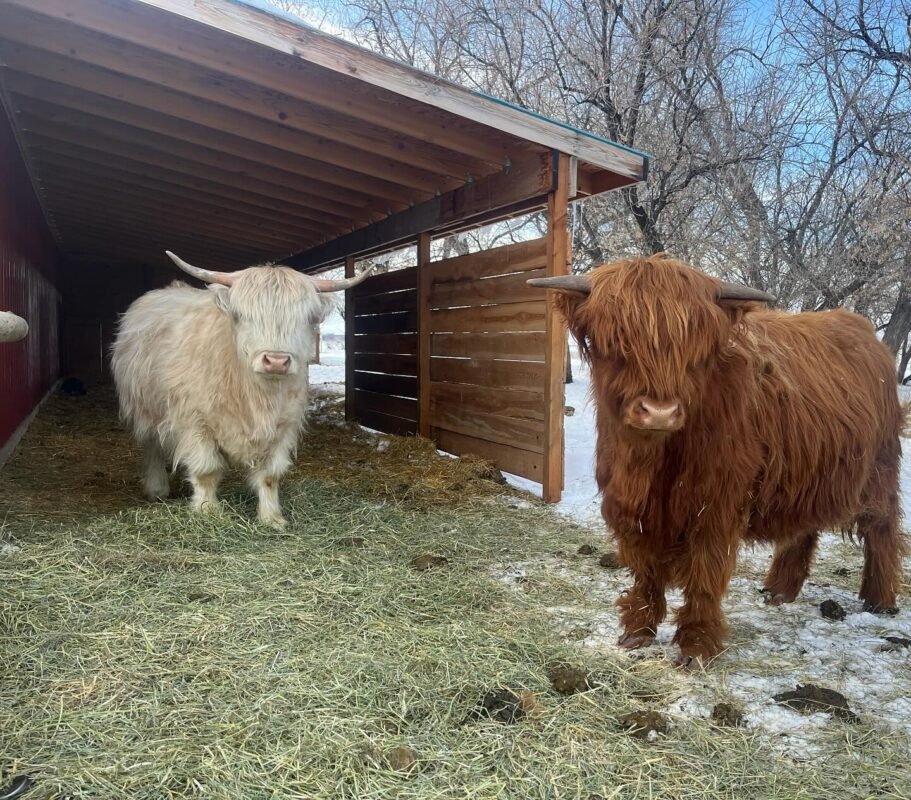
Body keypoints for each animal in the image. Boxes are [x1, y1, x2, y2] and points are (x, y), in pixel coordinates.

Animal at [112, 252, 372, 529]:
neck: (256, 395)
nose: (276, 361)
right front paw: (207, 511)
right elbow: (206, 470)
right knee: (152, 444)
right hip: (144, 405)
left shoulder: (284, 426)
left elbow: (270, 475)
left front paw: (272, 517)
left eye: (308, 317)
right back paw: (157, 489)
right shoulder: (194, 422)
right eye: (243, 315)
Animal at [529, 254, 905, 667]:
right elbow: (645, 569)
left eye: (694, 351)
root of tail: (862, 330)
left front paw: (696, 646)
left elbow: (705, 574)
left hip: (880, 468)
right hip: (810, 469)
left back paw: (880, 599)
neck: (653, 461)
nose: (660, 412)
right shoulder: (633, 505)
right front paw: (638, 631)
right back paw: (780, 590)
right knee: (803, 528)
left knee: (882, 527)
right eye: (615, 342)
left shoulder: (716, 504)